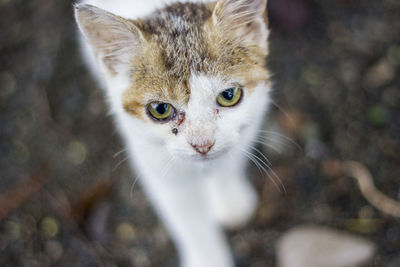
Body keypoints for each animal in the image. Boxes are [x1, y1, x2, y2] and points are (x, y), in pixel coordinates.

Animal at [73, 1, 270, 266]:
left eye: (229, 96)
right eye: (160, 109)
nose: (203, 144)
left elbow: (232, 157)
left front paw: (229, 199)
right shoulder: (154, 160)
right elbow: (189, 221)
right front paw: (208, 259)